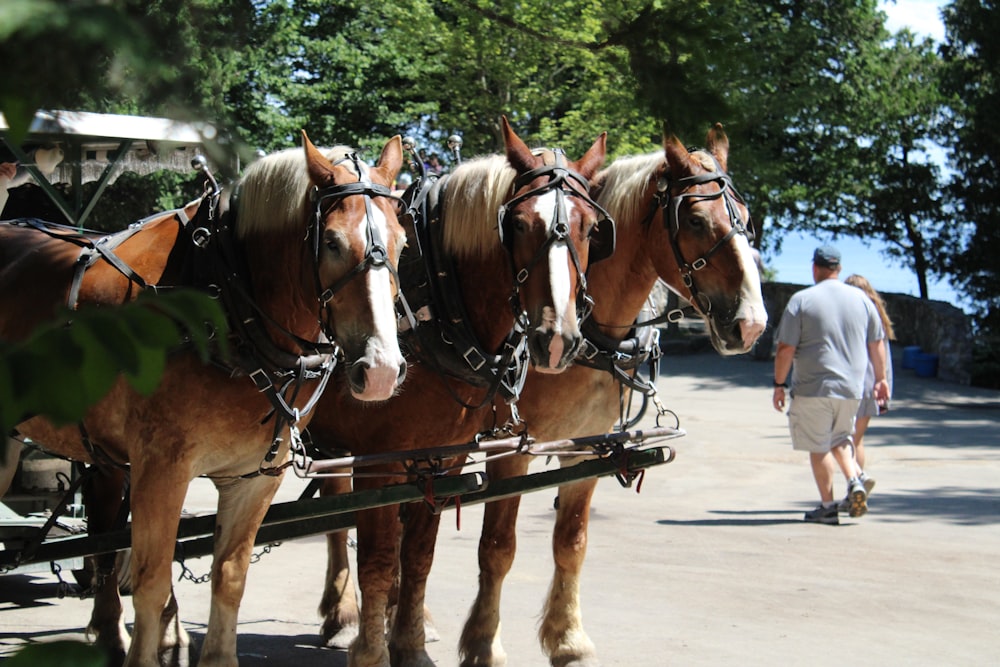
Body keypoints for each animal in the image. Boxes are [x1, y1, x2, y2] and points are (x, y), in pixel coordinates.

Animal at [0, 134, 406, 667]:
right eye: (333, 242)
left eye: (402, 241)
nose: (381, 371)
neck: (225, 300)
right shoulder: (161, 467)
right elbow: (151, 582)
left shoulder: (255, 477)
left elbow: (229, 576)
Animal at [312, 120, 608, 667]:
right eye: (516, 225)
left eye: (590, 228)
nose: (556, 339)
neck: (434, 301)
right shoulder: (378, 461)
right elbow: (379, 559)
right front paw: (374, 648)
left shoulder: (441, 459)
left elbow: (419, 553)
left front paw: (408, 642)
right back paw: (342, 617)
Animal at [458, 122, 768, 664]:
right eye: (694, 219)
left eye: (746, 220)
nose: (750, 324)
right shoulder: (510, 451)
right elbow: (497, 547)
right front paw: (483, 643)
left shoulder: (587, 449)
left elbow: (571, 542)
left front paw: (567, 638)